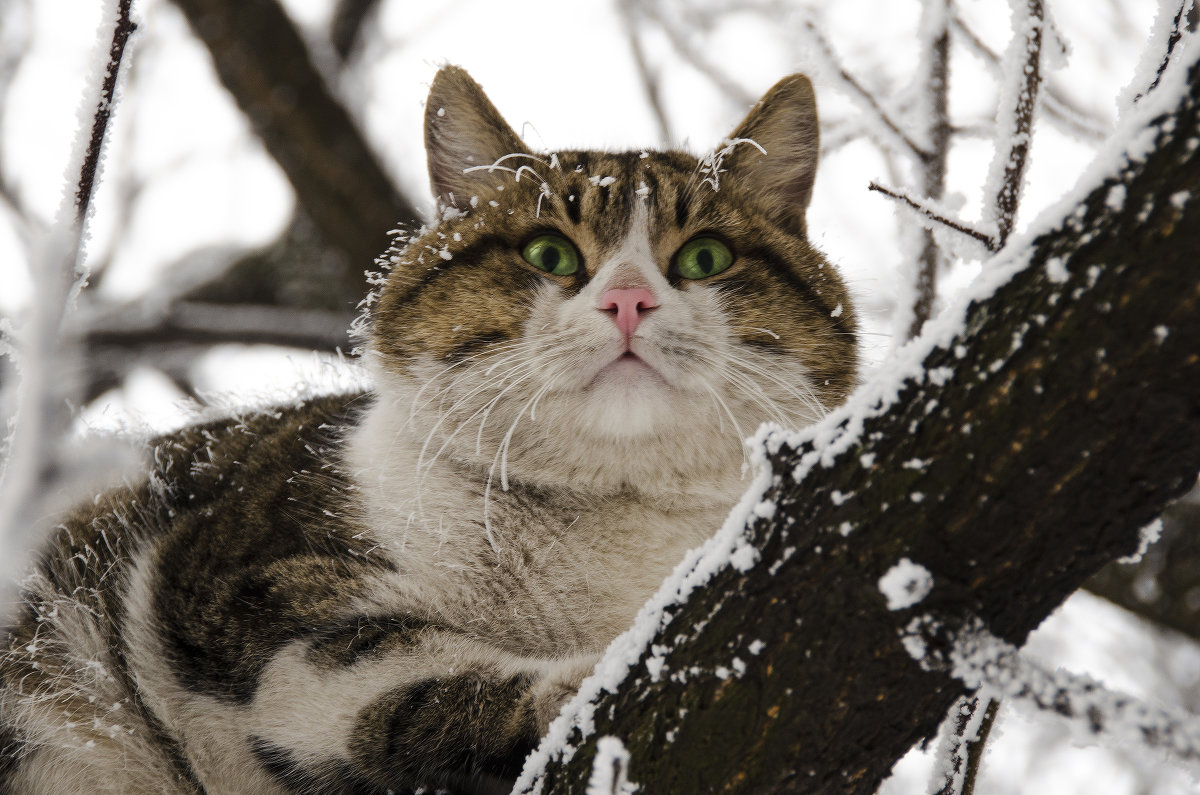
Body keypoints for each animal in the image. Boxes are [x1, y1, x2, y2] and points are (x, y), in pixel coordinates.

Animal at [2, 65, 864, 792]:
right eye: (549, 251)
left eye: (706, 256)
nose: (629, 300)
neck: (610, 535)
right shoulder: (229, 590)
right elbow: (392, 679)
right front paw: (580, 678)